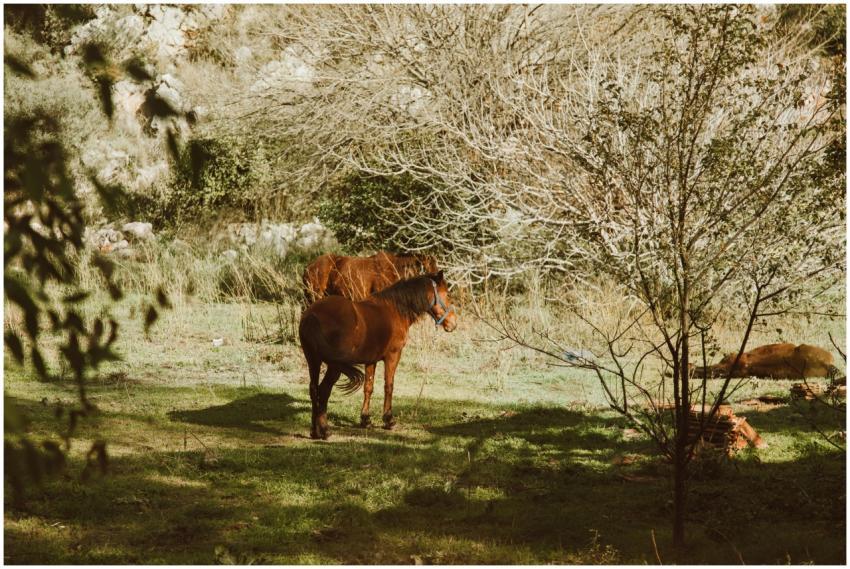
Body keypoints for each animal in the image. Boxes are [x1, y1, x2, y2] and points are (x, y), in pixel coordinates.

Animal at [299, 271, 457, 439]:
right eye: (448, 294)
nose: (453, 323)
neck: (395, 309)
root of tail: (312, 315)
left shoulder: (371, 360)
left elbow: (368, 387)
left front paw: (365, 420)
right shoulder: (393, 356)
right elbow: (389, 386)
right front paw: (388, 420)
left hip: (313, 361)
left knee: (313, 389)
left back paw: (314, 432)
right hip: (334, 366)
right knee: (323, 390)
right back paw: (325, 431)